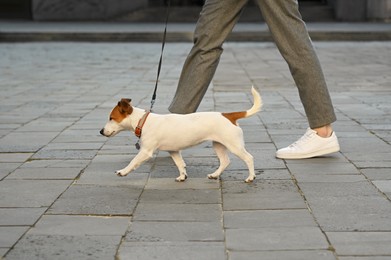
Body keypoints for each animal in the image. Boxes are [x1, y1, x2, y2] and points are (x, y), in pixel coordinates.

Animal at [99, 87, 262, 183]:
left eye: (111, 118)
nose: (100, 131)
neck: (143, 121)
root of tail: (229, 115)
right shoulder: (174, 151)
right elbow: (180, 164)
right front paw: (182, 176)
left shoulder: (145, 152)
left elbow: (133, 162)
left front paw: (123, 171)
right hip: (219, 145)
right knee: (225, 161)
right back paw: (215, 175)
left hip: (234, 145)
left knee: (249, 158)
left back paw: (250, 177)